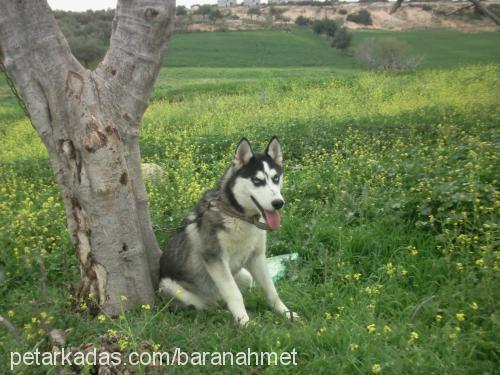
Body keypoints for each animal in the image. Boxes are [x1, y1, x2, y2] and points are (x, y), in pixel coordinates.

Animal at [160, 137, 298, 326]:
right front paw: (244, 322)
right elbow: (234, 293)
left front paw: (285, 313)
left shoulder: (256, 257)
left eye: (276, 178)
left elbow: (271, 290)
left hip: (244, 275)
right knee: (205, 307)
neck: (239, 216)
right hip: (172, 287)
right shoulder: (215, 258)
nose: (278, 203)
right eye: (257, 180)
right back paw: (223, 313)